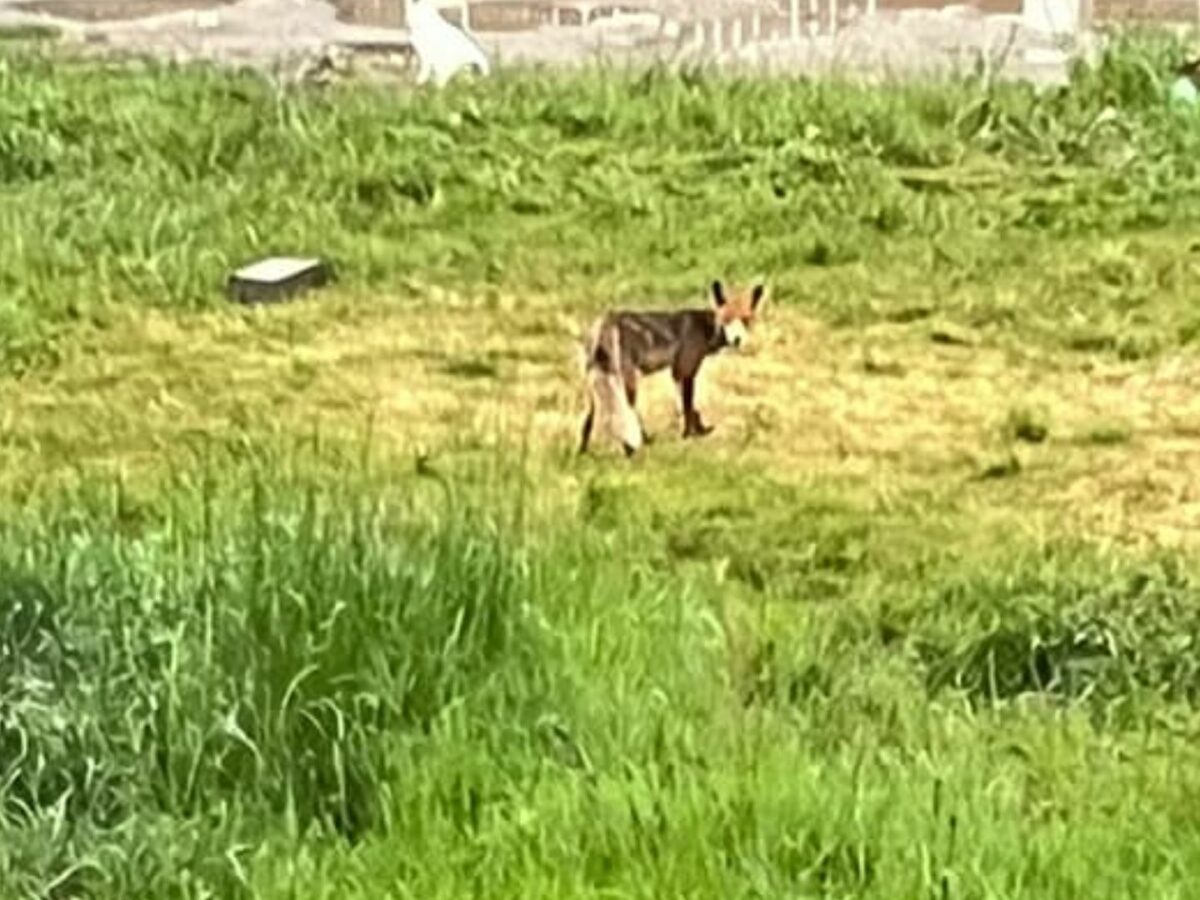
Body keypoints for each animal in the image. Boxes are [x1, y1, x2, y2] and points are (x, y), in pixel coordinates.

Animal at [576, 280, 763, 458]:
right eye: (726, 319)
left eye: (746, 320)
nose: (737, 340)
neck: (705, 329)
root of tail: (604, 321)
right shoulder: (684, 370)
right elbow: (687, 408)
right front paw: (688, 438)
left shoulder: (677, 372)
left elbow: (688, 409)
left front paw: (698, 431)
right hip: (627, 379)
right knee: (628, 412)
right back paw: (635, 447)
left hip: (595, 382)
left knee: (589, 420)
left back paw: (583, 452)